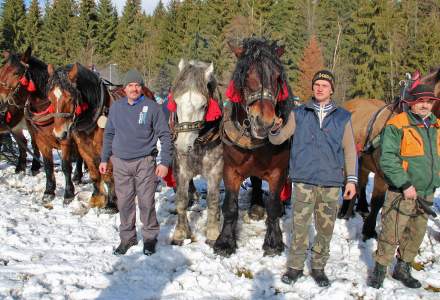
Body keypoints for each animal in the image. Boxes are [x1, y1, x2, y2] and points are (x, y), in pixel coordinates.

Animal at [169, 58, 223, 246]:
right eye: (176, 102)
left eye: (203, 105)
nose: (183, 145)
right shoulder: (181, 168)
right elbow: (181, 200)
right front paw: (180, 233)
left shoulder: (216, 170)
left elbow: (213, 201)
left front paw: (213, 233)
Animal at [213, 38, 292, 256]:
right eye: (246, 75)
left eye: (277, 77)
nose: (264, 122)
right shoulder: (230, 170)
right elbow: (230, 206)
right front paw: (225, 241)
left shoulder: (278, 171)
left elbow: (273, 205)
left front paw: (273, 241)